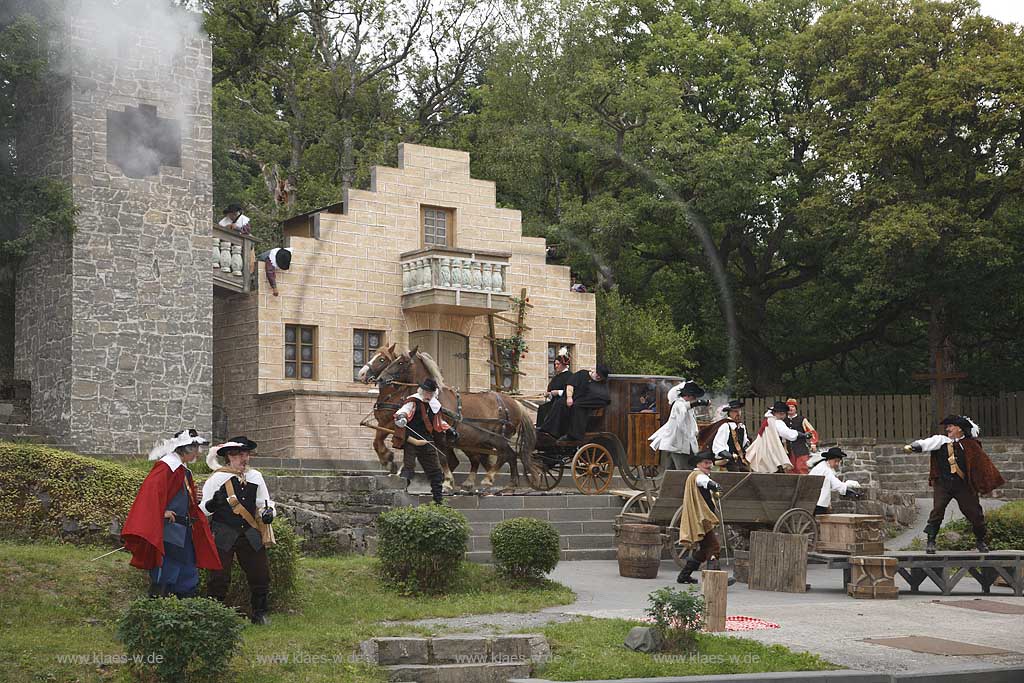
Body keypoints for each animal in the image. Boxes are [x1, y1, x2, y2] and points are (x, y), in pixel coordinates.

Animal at [376, 350, 536, 489]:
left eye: (401, 362)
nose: (381, 378)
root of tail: (516, 402)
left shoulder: (440, 436)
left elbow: (442, 459)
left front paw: (447, 482)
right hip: (480, 440)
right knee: (503, 456)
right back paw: (510, 482)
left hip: (498, 438)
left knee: (505, 455)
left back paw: (489, 478)